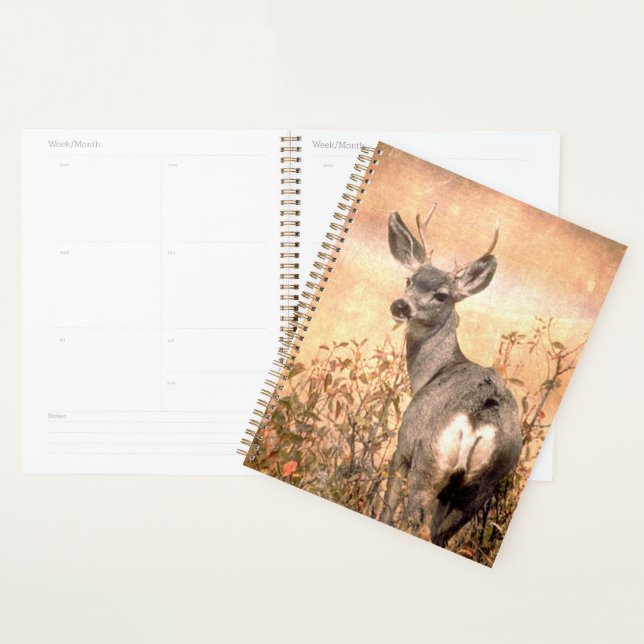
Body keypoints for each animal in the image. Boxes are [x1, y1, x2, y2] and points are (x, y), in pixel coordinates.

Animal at [379, 204, 522, 547]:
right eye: (409, 279)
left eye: (441, 295)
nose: (400, 306)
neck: (433, 372)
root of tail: (479, 422)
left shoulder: (403, 447)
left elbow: (387, 509)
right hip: (479, 488)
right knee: (439, 536)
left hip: (429, 463)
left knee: (411, 522)